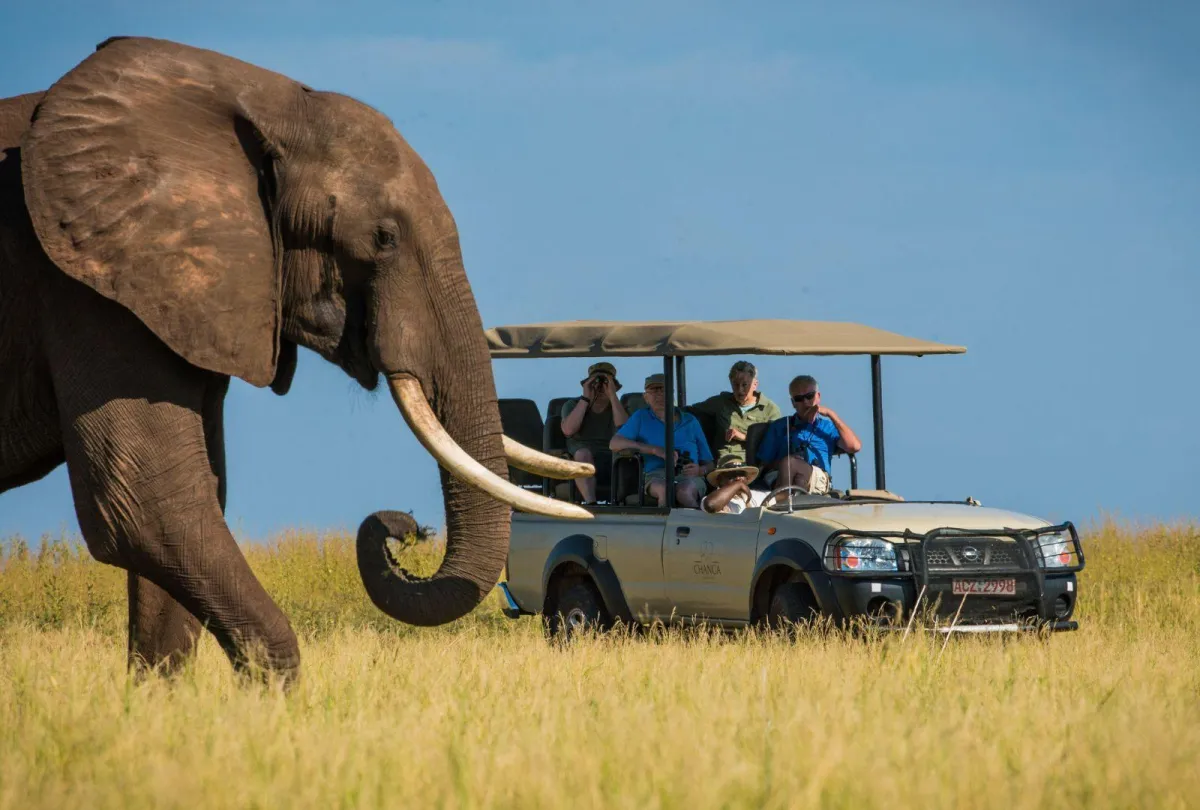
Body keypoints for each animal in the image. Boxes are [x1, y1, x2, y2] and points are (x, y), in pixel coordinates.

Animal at [0, 35, 593, 682]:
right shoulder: (86, 288)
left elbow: (189, 504)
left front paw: (156, 703)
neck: (255, 101)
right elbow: (150, 506)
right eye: (384, 237)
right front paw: (269, 700)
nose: (408, 528)